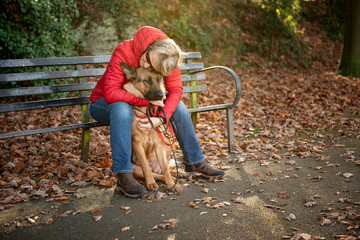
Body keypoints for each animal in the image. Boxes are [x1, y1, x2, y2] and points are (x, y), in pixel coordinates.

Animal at [120, 62, 183, 193]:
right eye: (147, 81)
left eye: (158, 79)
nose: (162, 95)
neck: (145, 111)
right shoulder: (137, 143)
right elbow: (145, 167)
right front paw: (150, 183)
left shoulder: (159, 145)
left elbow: (166, 170)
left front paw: (171, 184)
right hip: (135, 168)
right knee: (154, 174)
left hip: (166, 150)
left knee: (165, 170)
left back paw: (179, 175)